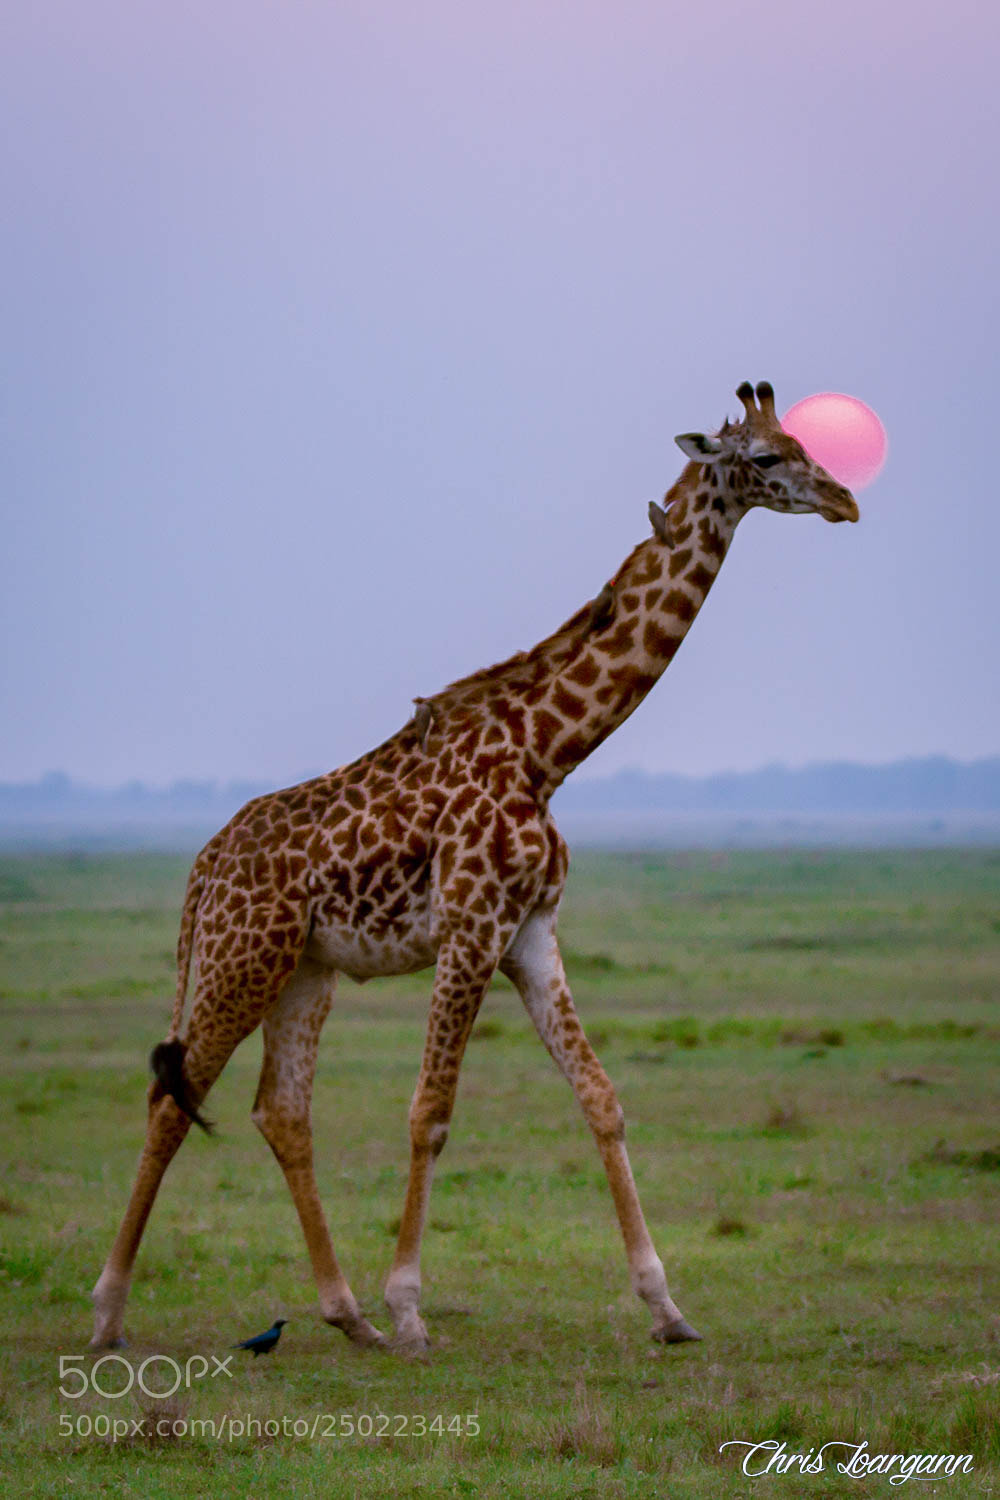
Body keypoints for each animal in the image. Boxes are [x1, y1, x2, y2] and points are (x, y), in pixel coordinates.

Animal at [90, 381, 859, 1353]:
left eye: (803, 442)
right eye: (764, 458)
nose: (846, 500)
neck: (546, 751)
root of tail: (203, 868)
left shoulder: (531, 931)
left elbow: (601, 1096)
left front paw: (668, 1307)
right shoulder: (469, 926)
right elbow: (430, 1112)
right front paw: (412, 1309)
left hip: (302, 971)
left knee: (282, 1112)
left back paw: (346, 1316)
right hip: (242, 958)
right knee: (173, 1100)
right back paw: (110, 1312)